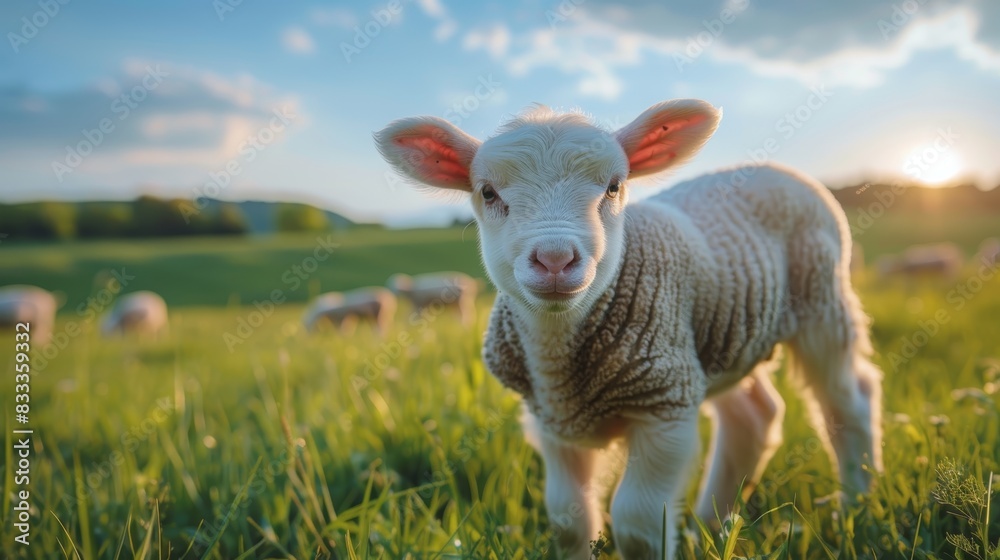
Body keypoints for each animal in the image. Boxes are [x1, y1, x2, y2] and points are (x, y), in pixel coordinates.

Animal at [376, 99, 884, 559]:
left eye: (614, 187)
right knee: (754, 415)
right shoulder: (550, 420)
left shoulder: (664, 408)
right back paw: (710, 525)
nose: (555, 259)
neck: (561, 361)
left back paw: (855, 504)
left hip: (822, 302)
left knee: (848, 402)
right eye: (486, 192)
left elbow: (637, 525)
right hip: (717, 337)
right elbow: (568, 521)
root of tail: (773, 168)